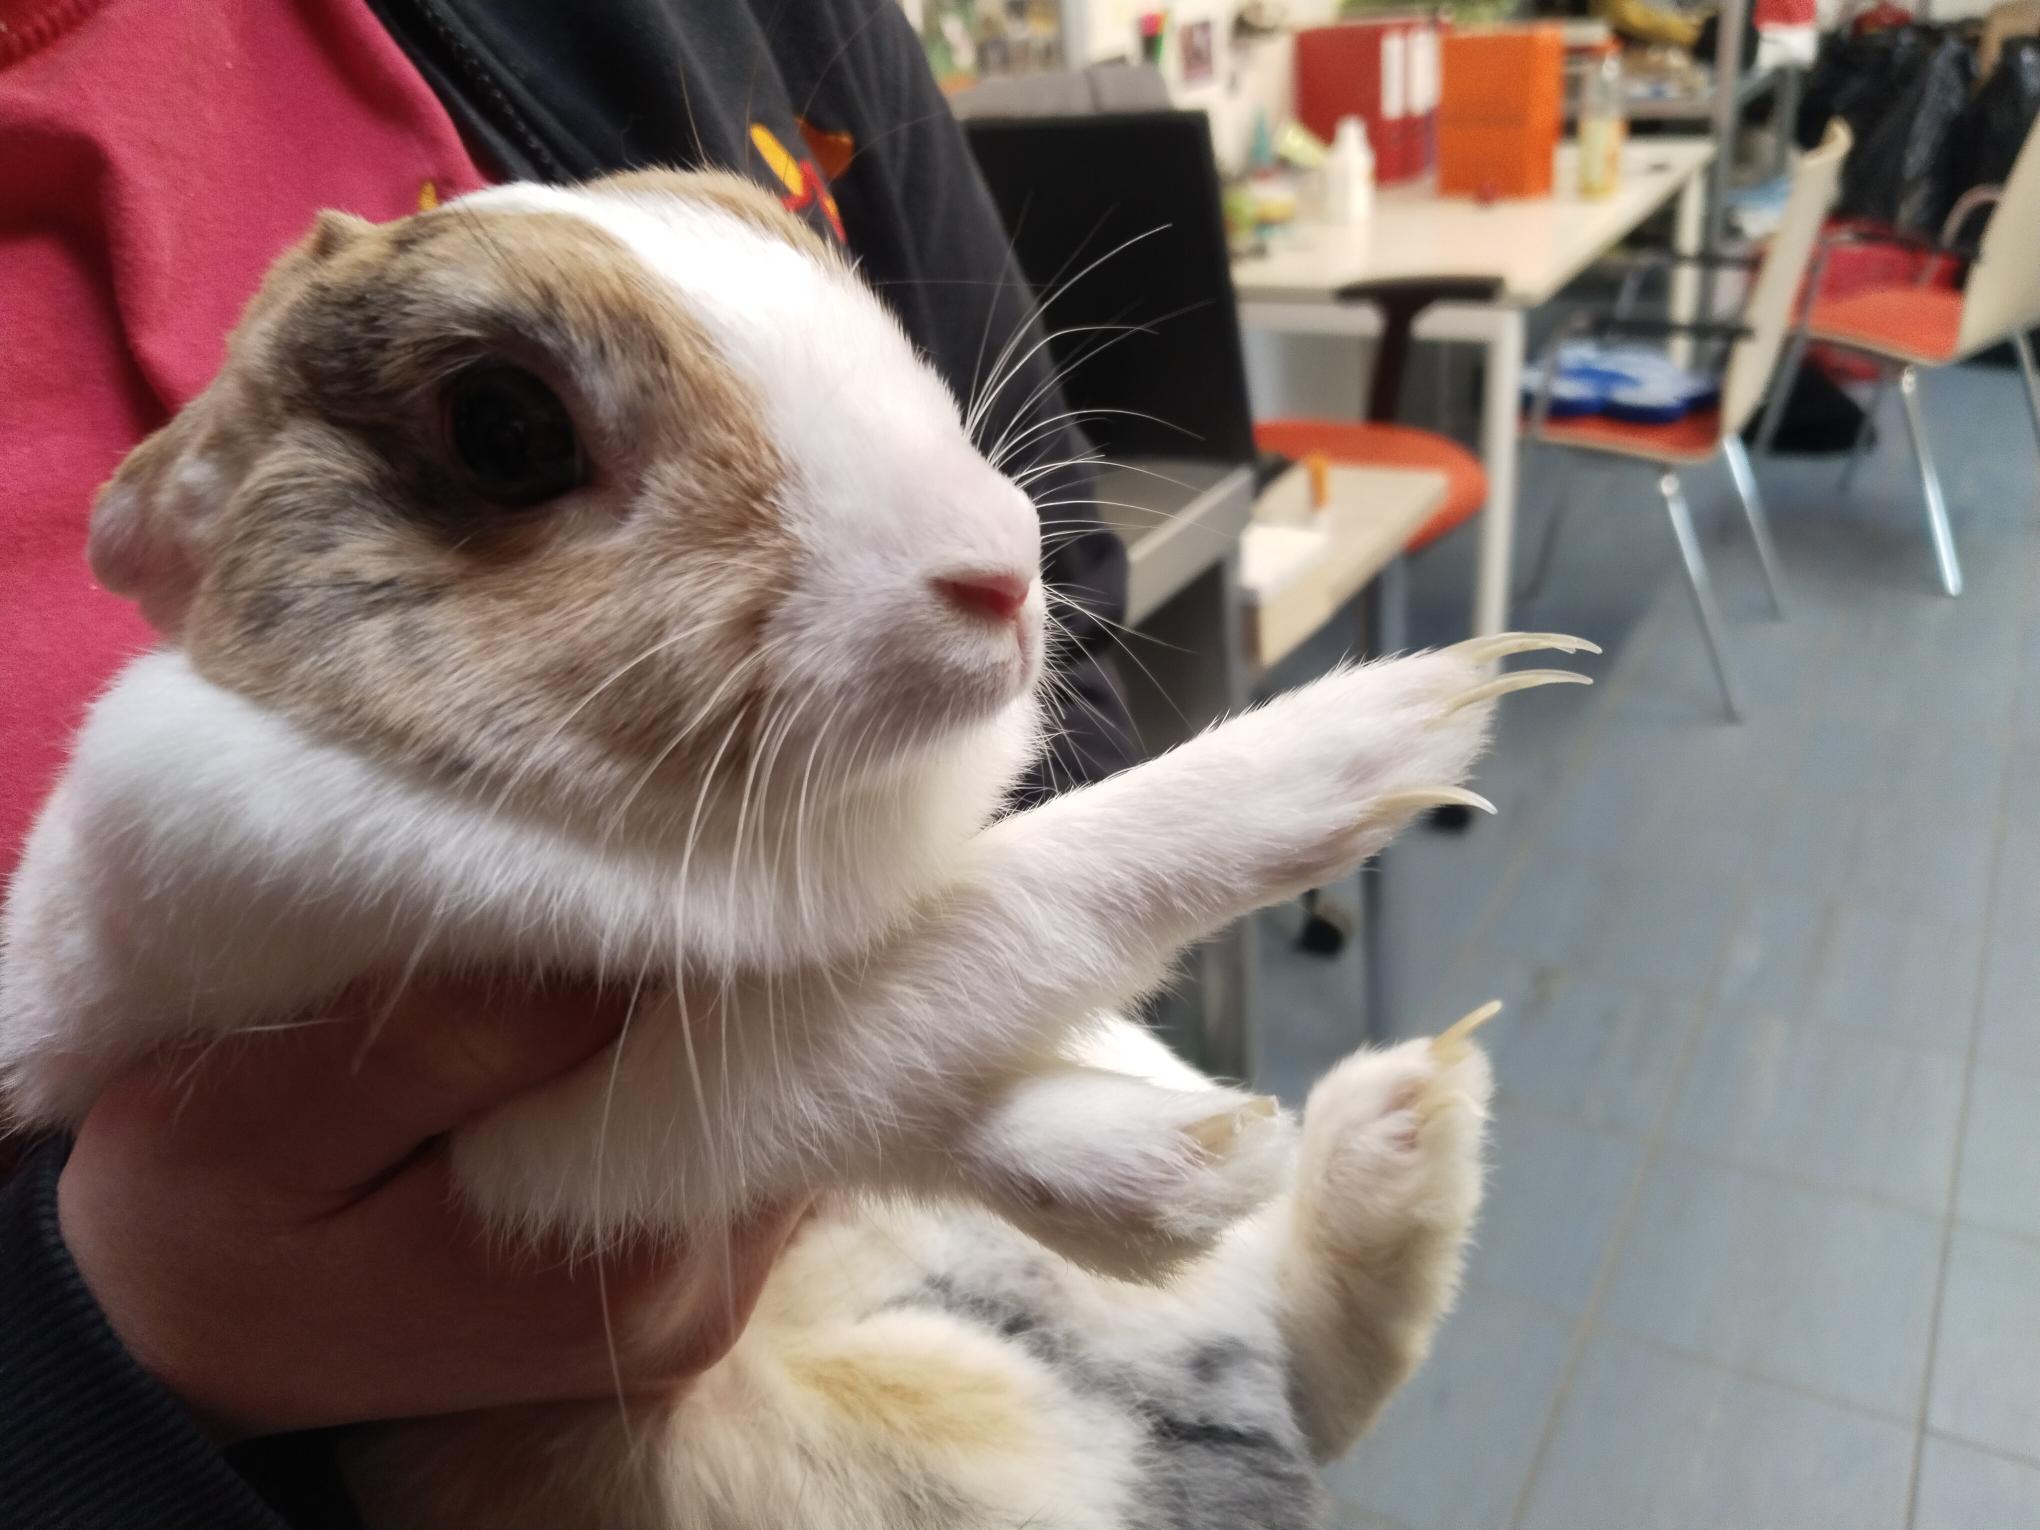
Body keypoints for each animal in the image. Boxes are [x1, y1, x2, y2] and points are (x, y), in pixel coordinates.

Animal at [0, 168, 1593, 1529]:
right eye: (506, 430)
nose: (1001, 563)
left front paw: (1177, 1147)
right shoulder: (546, 1149)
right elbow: (969, 943)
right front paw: (1384, 736)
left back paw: (1396, 1118)